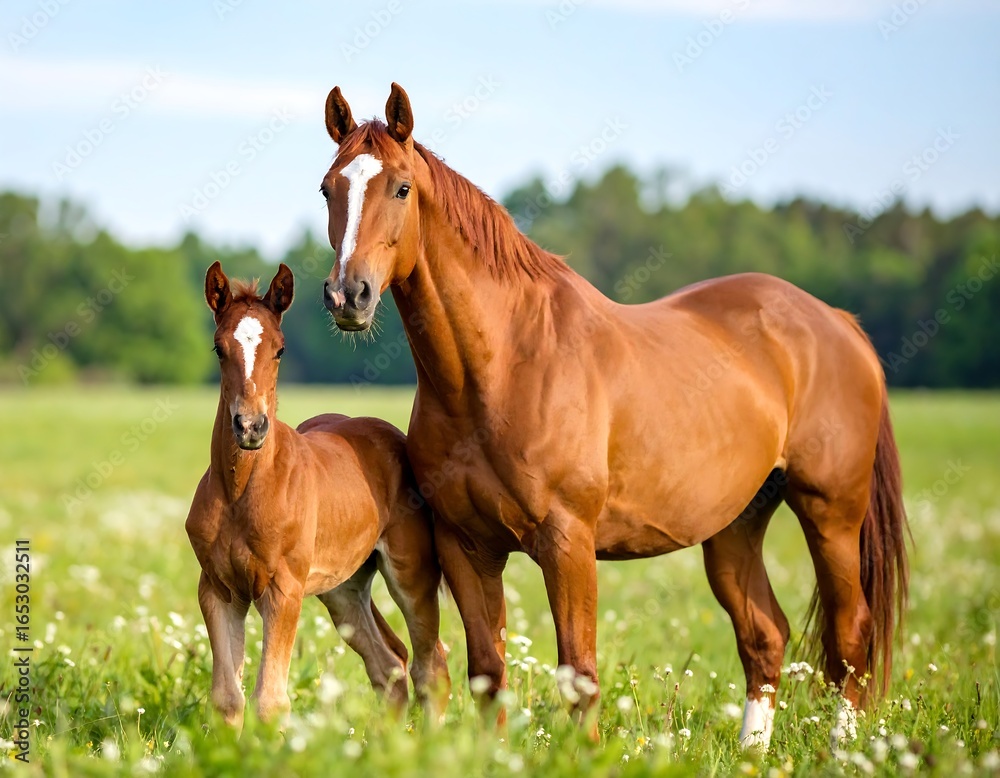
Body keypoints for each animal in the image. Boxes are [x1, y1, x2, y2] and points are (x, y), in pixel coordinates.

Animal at [185, 261, 450, 727]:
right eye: (218, 349)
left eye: (280, 349)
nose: (250, 427)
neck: (240, 491)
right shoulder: (218, 589)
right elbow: (227, 698)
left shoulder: (283, 591)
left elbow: (270, 701)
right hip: (342, 588)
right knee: (389, 663)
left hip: (411, 573)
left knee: (430, 666)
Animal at [316, 84, 909, 748]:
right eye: (328, 188)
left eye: (400, 188)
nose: (348, 296)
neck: (500, 368)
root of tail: (836, 321)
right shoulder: (465, 545)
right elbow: (488, 670)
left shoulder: (568, 543)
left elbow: (579, 671)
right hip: (735, 527)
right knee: (765, 636)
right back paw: (755, 753)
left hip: (831, 514)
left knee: (850, 635)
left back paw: (845, 752)